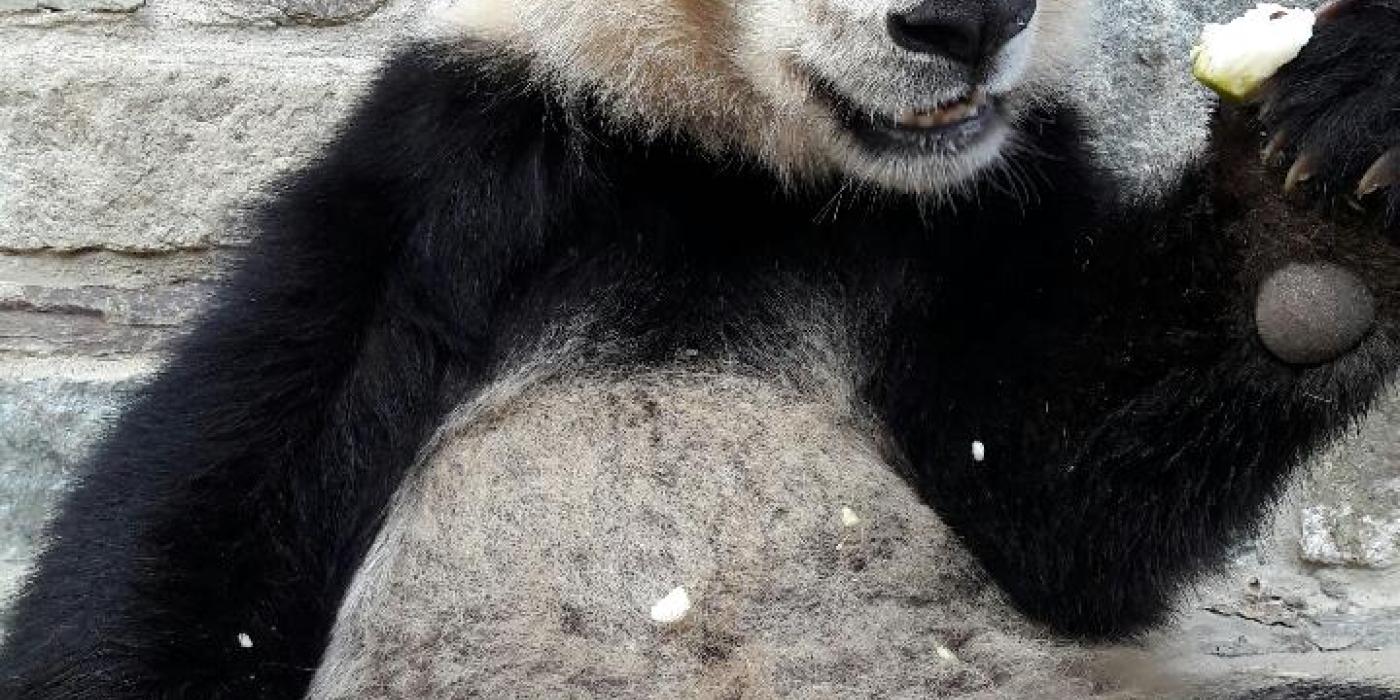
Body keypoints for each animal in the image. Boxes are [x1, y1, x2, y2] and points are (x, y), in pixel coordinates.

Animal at [2, 0, 1400, 694]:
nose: (962, 20)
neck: (747, 161)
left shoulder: (983, 207)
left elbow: (1061, 494)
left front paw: (1328, 166)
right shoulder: (462, 169)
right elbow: (219, 499)